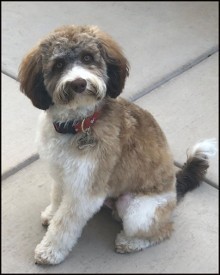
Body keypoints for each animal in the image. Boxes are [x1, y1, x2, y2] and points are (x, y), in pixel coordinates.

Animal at [17, 25, 217, 266]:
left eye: (88, 57)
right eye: (58, 65)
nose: (79, 83)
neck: (77, 124)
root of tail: (175, 190)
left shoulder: (85, 190)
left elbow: (64, 224)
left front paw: (49, 251)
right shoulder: (61, 174)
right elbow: (57, 198)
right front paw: (51, 214)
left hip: (138, 211)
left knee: (162, 230)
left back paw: (129, 242)